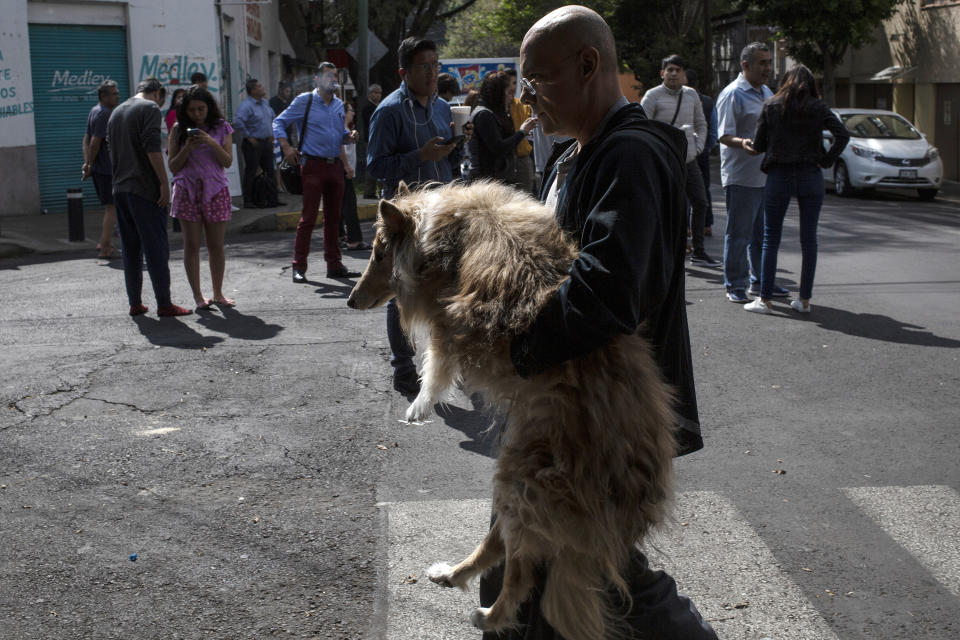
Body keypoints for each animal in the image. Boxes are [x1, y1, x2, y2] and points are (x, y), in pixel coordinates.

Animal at [344, 181, 676, 640]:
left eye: (378, 254)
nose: (350, 300)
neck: (447, 233)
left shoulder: (451, 320)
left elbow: (437, 359)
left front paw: (419, 402)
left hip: (524, 483)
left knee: (523, 573)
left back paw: (491, 615)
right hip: (520, 487)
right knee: (501, 545)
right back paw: (451, 575)